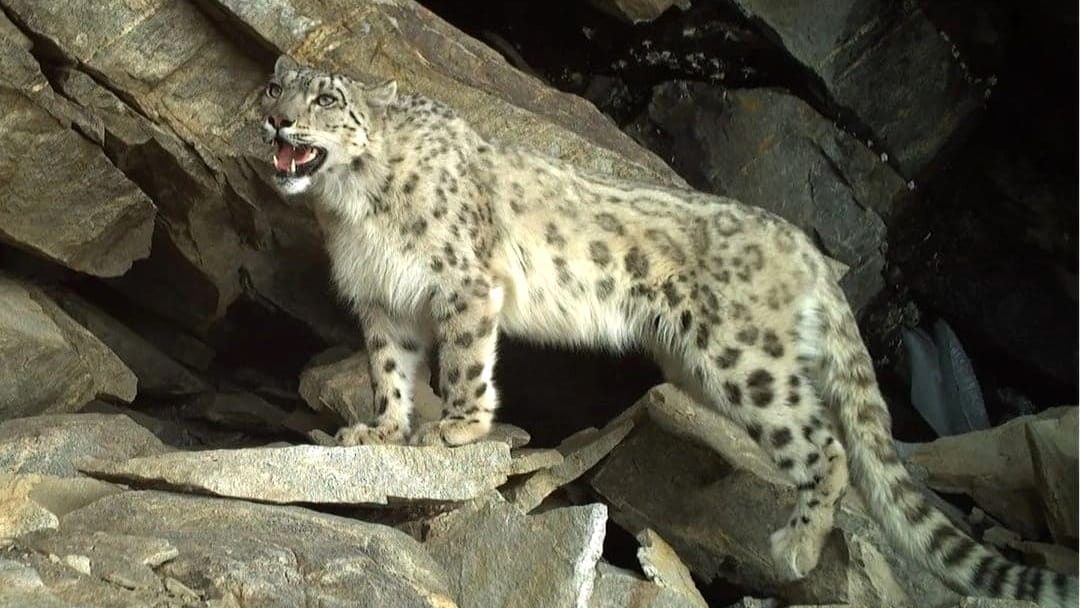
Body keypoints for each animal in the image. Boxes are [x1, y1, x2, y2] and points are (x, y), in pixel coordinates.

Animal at [260, 55, 1077, 608]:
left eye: (327, 98)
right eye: (276, 87)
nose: (276, 118)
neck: (350, 207)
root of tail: (805, 248)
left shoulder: (465, 283)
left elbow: (462, 359)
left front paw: (457, 427)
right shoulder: (384, 303)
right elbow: (390, 369)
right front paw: (379, 431)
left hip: (746, 360)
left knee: (827, 442)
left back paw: (797, 544)